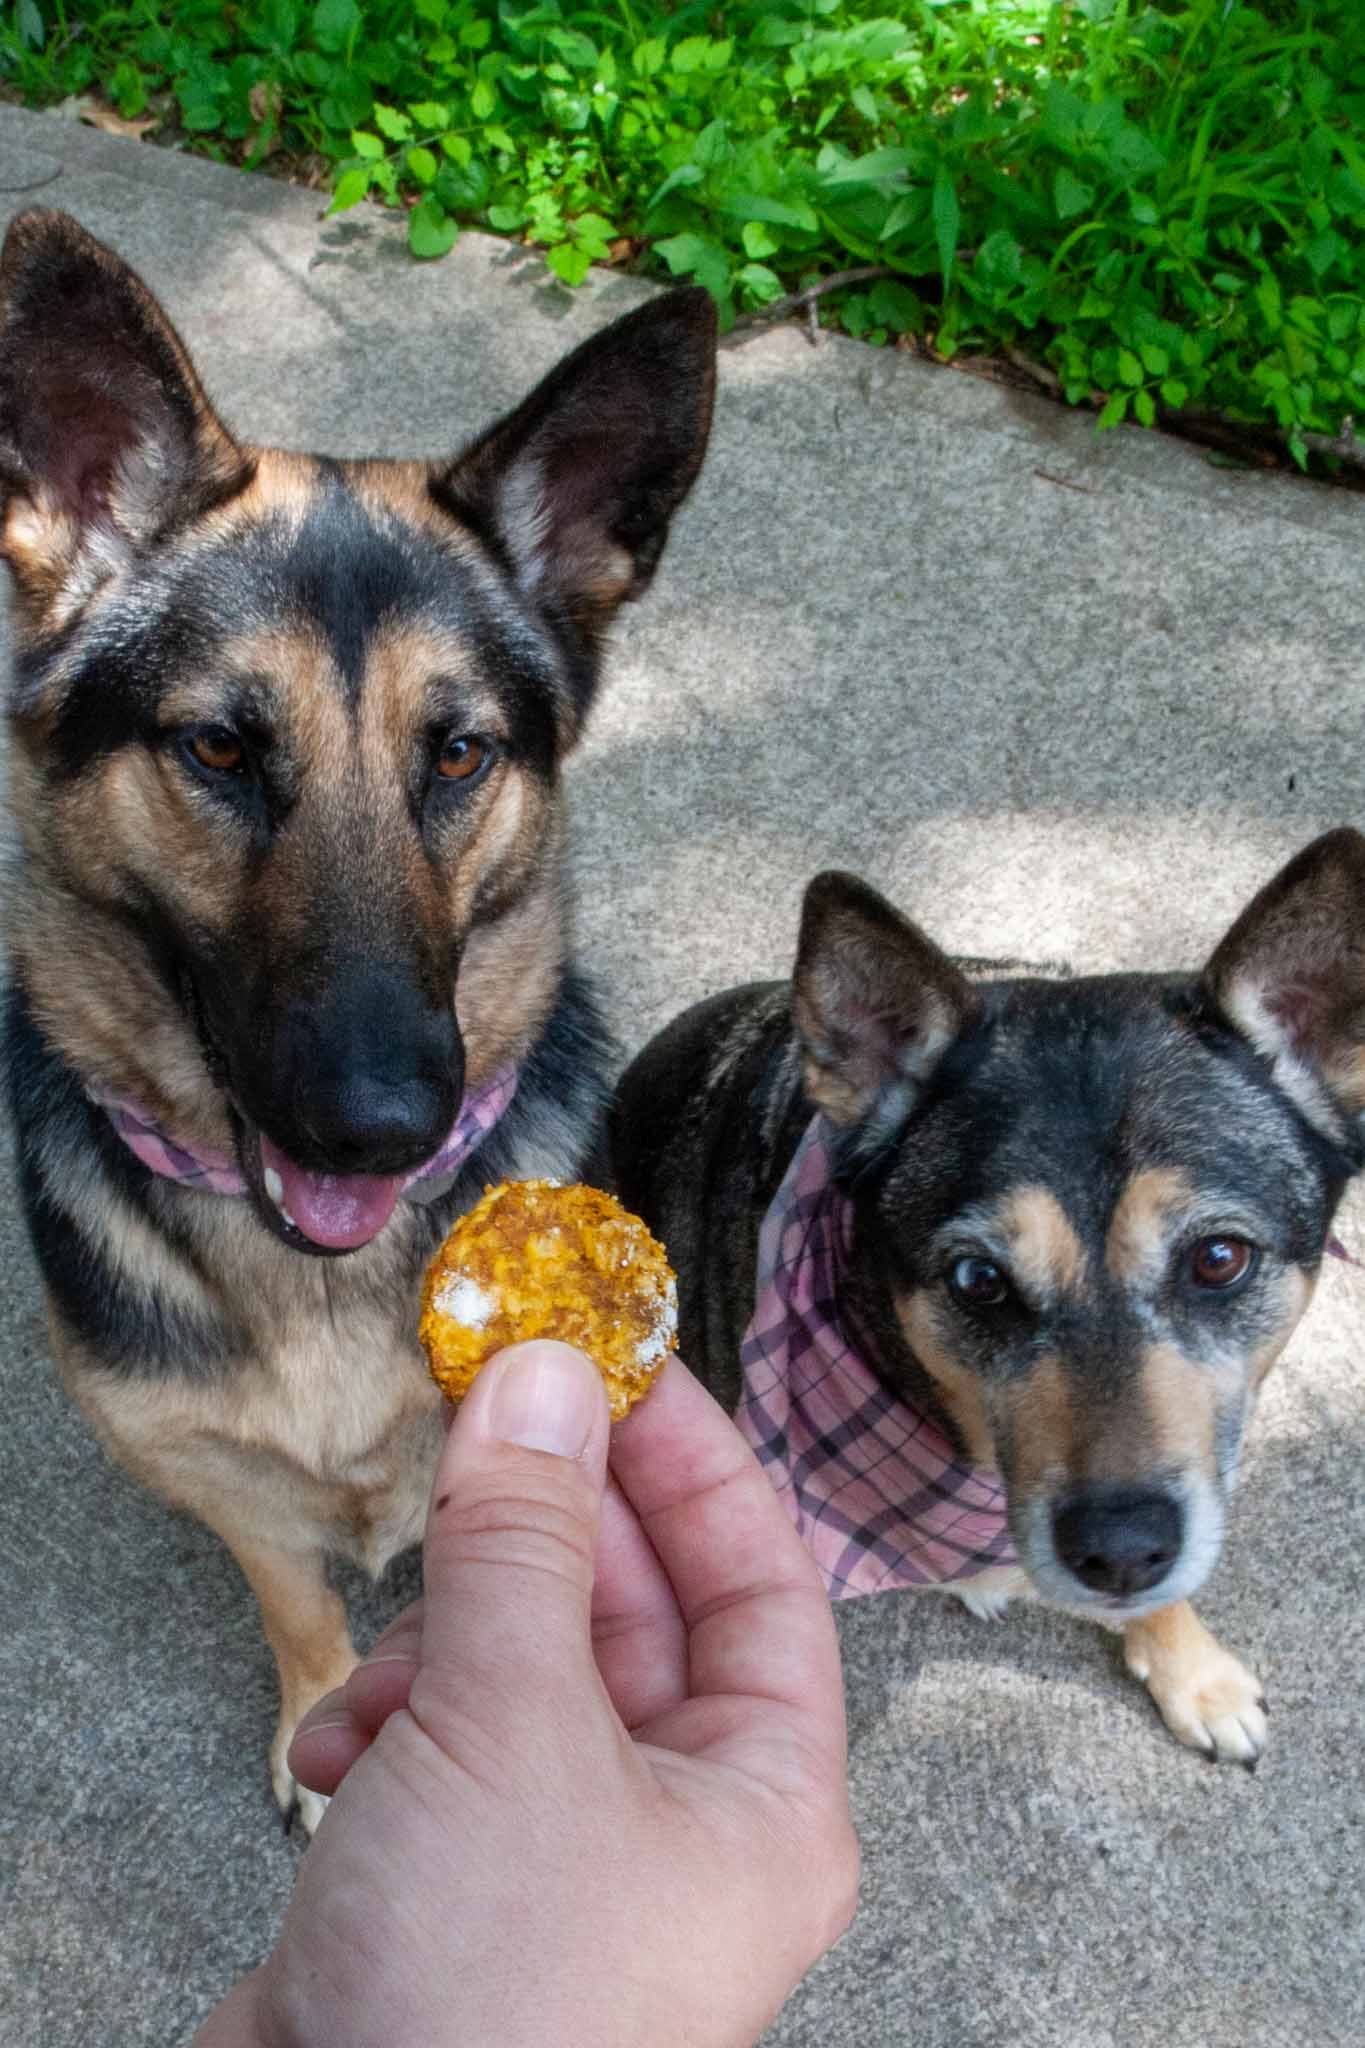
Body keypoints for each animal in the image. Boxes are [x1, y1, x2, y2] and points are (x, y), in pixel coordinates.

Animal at [0, 216, 720, 1835]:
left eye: (457, 753)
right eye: (217, 745)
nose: (381, 1125)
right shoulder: (220, 1480)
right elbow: (294, 1594)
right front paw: (326, 1718)